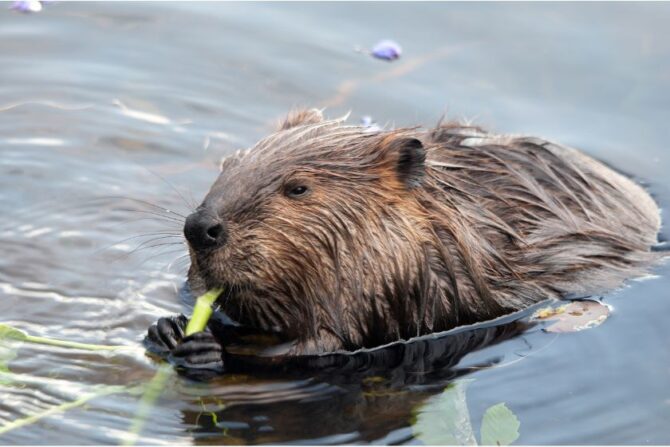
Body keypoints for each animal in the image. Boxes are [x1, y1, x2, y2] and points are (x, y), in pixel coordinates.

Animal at [144, 110, 664, 372]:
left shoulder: (407, 289)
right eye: (230, 163)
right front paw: (168, 327)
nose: (200, 227)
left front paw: (206, 347)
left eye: (298, 188)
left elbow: (320, 348)